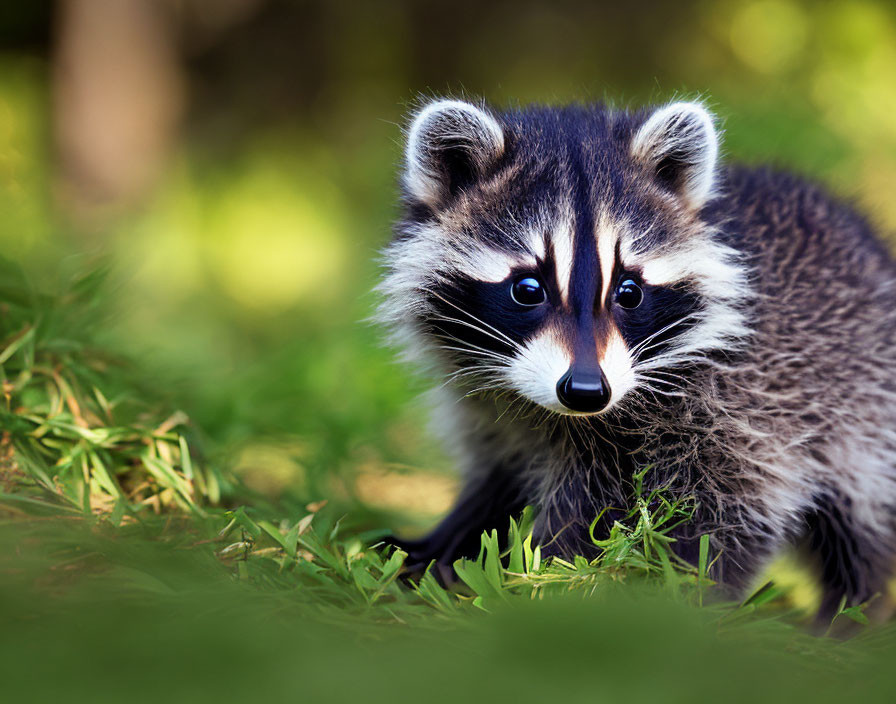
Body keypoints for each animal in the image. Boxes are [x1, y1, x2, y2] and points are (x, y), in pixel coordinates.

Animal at [378, 96, 896, 620]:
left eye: (629, 291)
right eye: (527, 289)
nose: (586, 391)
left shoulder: (746, 406)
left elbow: (726, 514)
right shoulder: (497, 416)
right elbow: (498, 482)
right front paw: (444, 546)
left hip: (865, 416)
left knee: (860, 530)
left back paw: (848, 614)